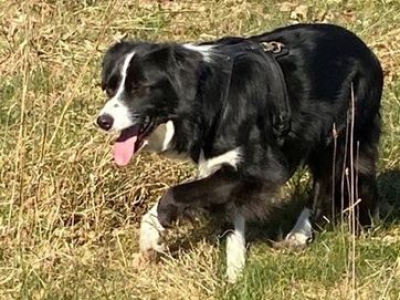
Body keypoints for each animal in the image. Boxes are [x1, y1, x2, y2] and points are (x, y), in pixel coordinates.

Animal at [95, 22, 382, 282]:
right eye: (110, 88)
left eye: (139, 88)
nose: (103, 121)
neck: (203, 95)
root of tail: (366, 51)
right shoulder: (220, 163)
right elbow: (232, 214)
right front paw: (235, 273)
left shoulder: (260, 170)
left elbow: (174, 194)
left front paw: (154, 234)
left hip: (340, 132)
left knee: (325, 183)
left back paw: (304, 234)